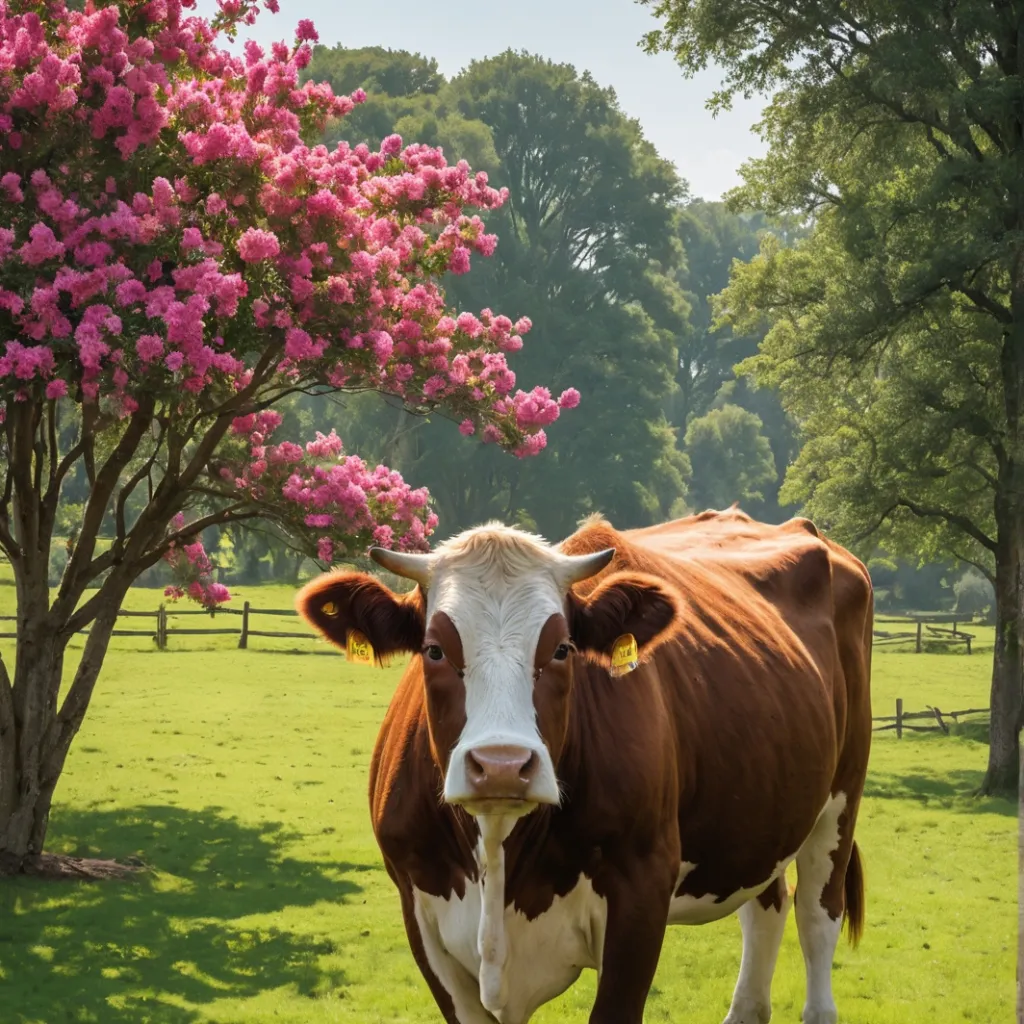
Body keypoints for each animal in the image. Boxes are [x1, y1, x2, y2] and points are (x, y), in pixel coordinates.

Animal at [296, 509, 872, 1024]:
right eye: (434, 650)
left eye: (562, 648)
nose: (501, 766)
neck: (498, 857)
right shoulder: (419, 907)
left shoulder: (641, 890)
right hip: (761, 816)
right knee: (766, 907)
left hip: (840, 802)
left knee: (816, 917)